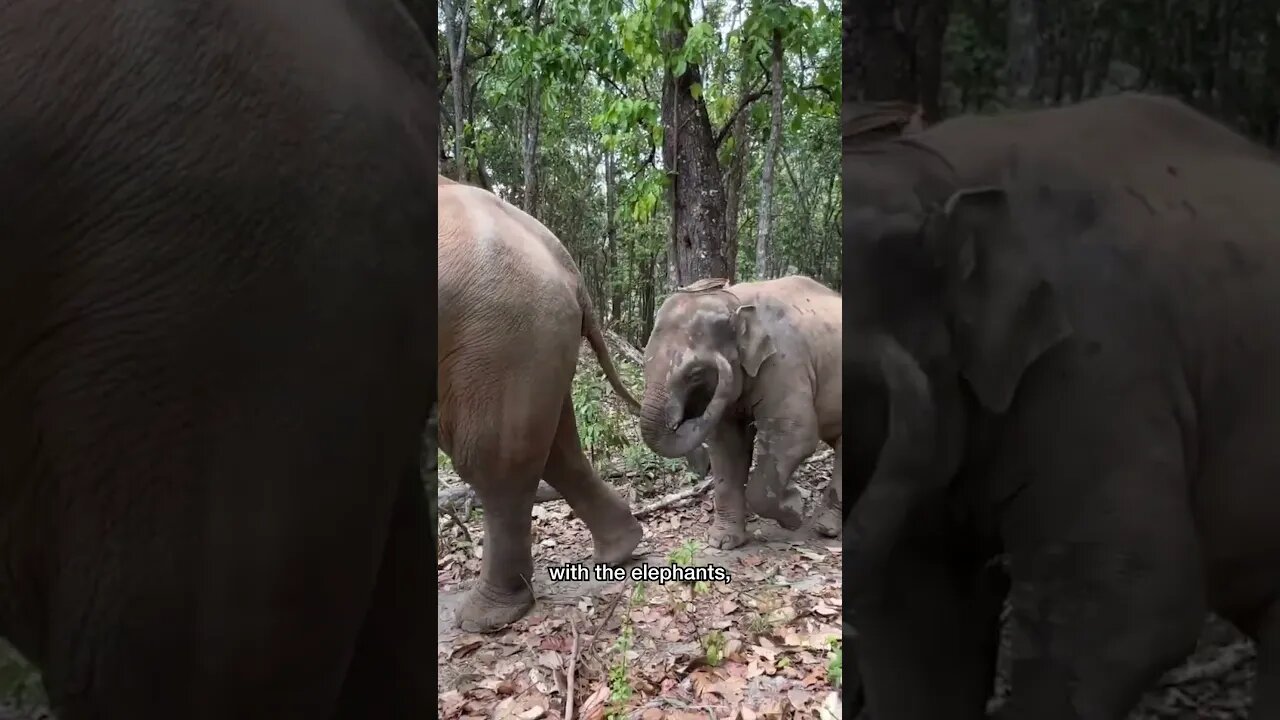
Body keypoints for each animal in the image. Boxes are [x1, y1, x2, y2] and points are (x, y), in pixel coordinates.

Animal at [440, 176, 645, 630]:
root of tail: (565, 262)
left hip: (502, 335)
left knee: (491, 458)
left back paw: (484, 618)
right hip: (535, 338)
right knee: (558, 448)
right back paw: (618, 552)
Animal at [637, 271, 839, 545]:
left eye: (695, 374)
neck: (734, 301)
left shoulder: (785, 363)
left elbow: (796, 436)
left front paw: (794, 512)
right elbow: (727, 446)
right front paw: (723, 541)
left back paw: (825, 529)